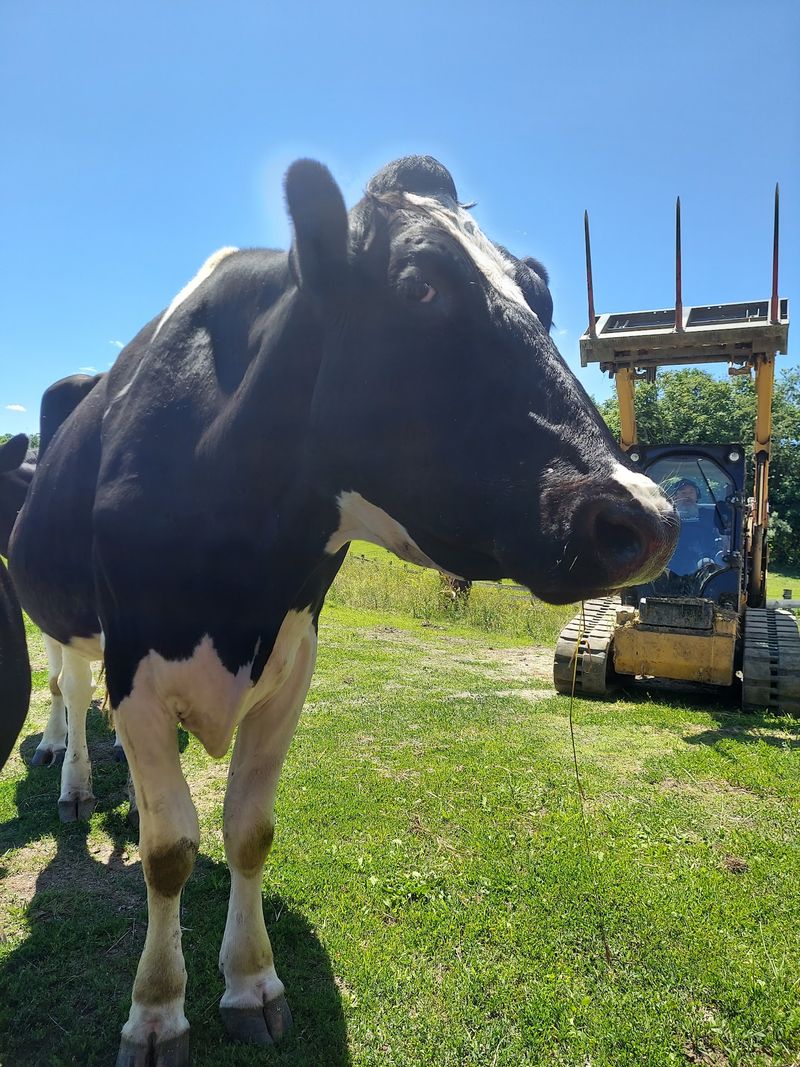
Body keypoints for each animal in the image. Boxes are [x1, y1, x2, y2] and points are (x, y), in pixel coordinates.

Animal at [9, 155, 678, 1066]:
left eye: (542, 297)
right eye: (420, 287)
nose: (646, 515)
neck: (240, 573)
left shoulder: (293, 662)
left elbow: (248, 830)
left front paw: (252, 983)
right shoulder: (138, 665)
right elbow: (168, 849)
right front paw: (156, 1010)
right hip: (65, 616)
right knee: (71, 692)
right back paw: (71, 771)